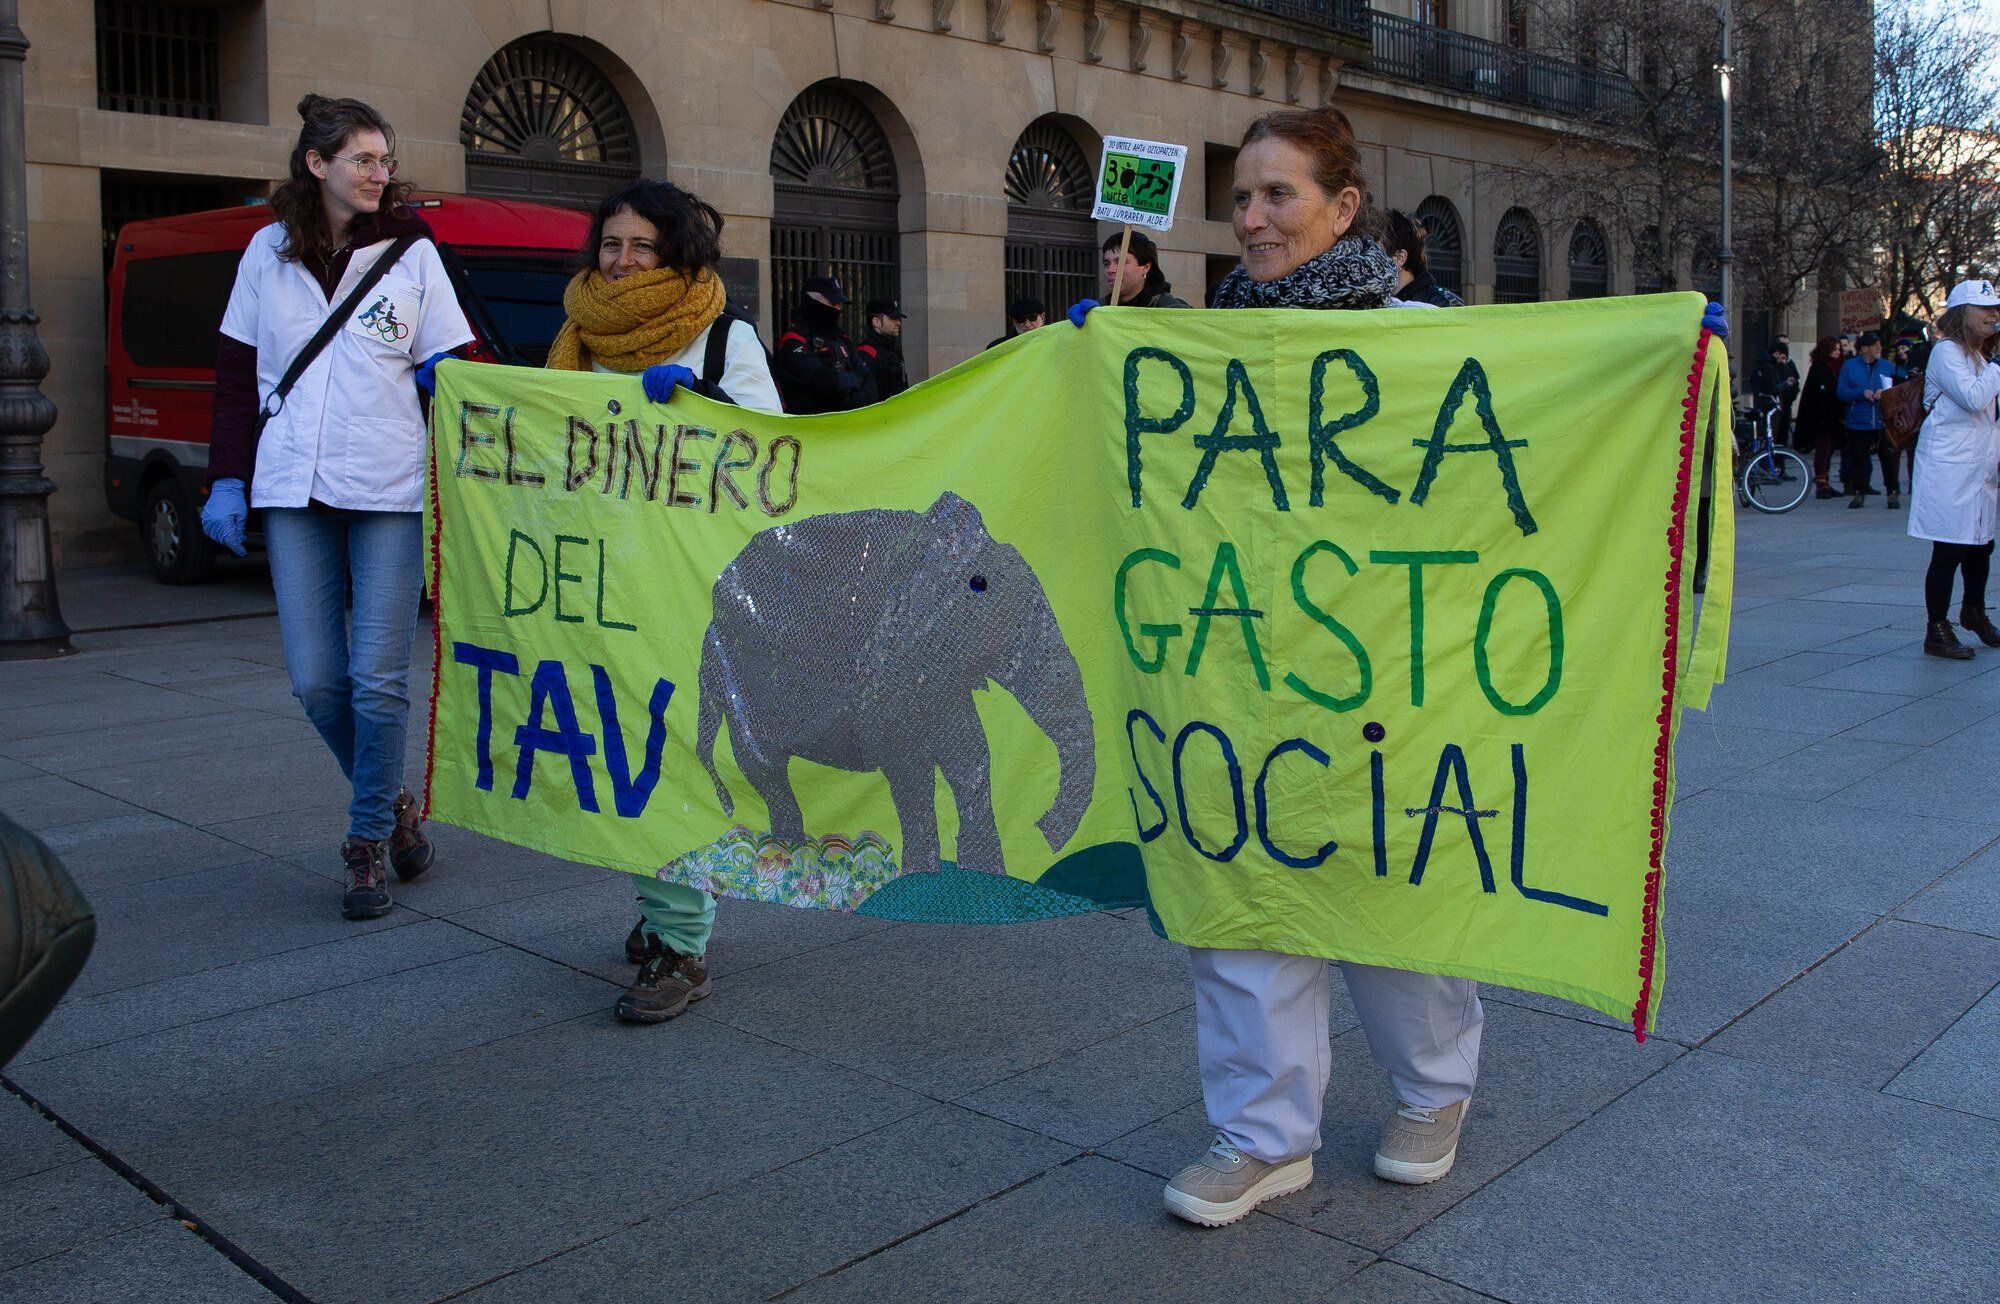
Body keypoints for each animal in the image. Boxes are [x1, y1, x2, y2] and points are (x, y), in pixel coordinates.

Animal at [688, 492, 1096, 876]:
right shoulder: (889, 670)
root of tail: (709, 626)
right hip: (738, 678)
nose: (1042, 830)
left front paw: (984, 876)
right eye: (980, 588)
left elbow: (970, 761)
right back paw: (790, 853)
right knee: (764, 768)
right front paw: (920, 876)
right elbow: (911, 771)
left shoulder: (940, 676)